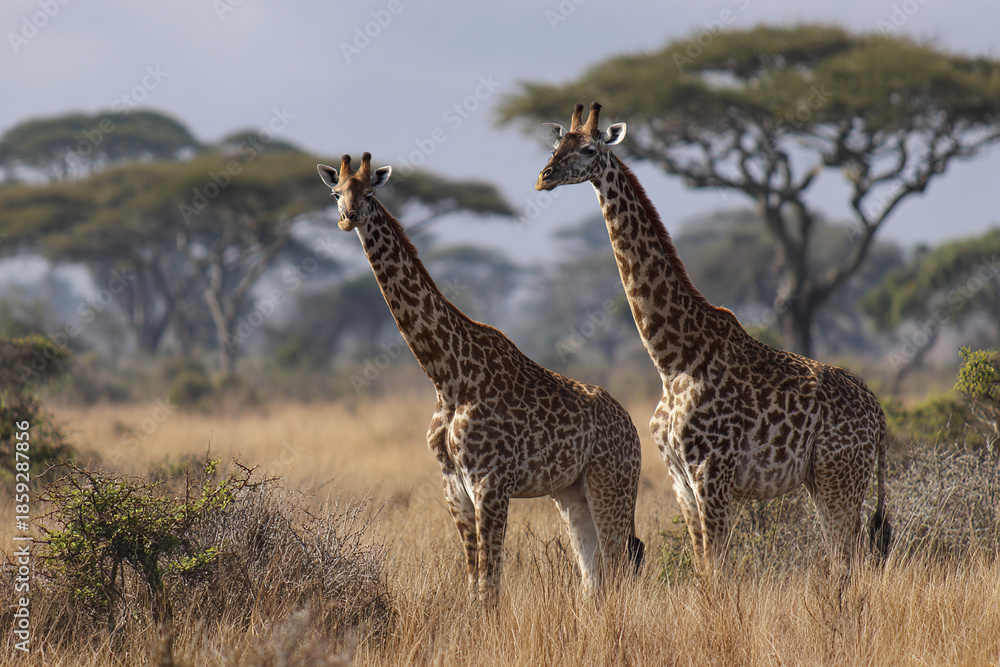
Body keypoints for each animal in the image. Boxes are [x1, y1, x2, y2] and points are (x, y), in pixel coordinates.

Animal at [317, 153, 644, 600]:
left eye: (369, 193)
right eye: (336, 192)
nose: (347, 219)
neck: (446, 375)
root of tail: (634, 430)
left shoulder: (491, 482)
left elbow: (491, 583)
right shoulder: (453, 483)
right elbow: (475, 582)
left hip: (611, 483)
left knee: (619, 567)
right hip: (570, 492)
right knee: (594, 577)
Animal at [533, 103, 891, 574]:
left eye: (589, 148)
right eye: (558, 144)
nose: (544, 177)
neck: (673, 357)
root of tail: (879, 414)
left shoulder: (712, 472)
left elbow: (718, 571)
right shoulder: (679, 478)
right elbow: (704, 568)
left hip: (840, 476)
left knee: (850, 560)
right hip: (823, 479)